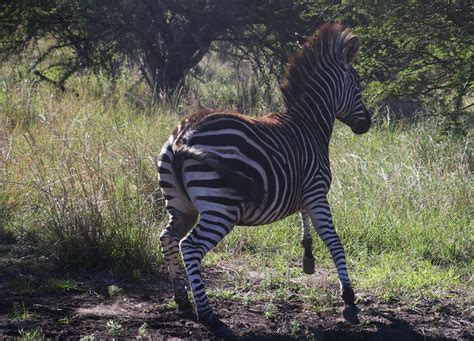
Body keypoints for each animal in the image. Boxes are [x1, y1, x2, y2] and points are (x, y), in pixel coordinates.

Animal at [159, 24, 370, 332]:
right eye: (357, 84)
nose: (367, 123)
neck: (310, 124)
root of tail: (182, 137)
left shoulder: (304, 192)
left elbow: (306, 223)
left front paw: (308, 257)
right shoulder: (317, 192)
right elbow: (333, 240)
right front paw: (349, 299)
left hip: (180, 206)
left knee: (168, 239)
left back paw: (182, 302)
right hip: (220, 207)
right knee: (191, 247)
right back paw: (208, 315)